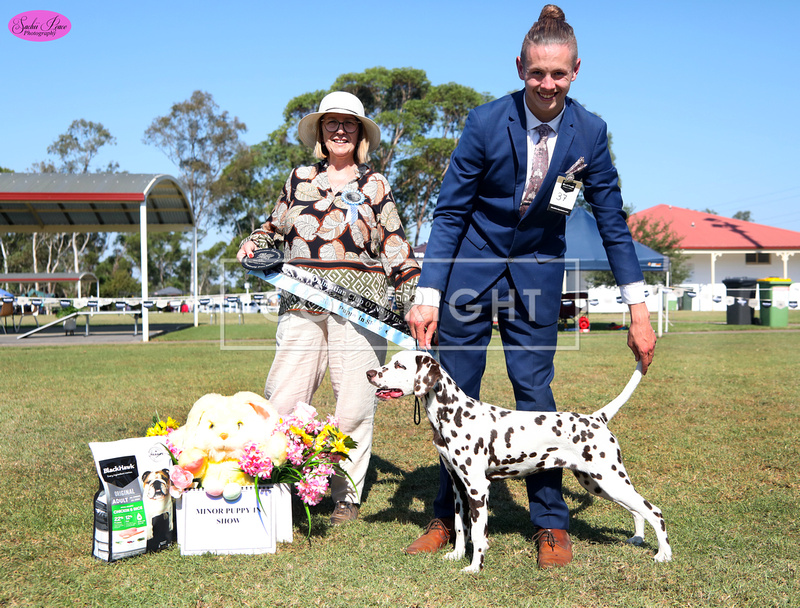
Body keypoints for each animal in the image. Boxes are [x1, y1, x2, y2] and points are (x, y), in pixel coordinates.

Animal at [366, 350, 672, 572]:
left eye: (399, 365)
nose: (370, 373)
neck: (456, 414)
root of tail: (596, 418)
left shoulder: (478, 489)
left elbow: (478, 535)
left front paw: (475, 568)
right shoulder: (458, 488)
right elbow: (460, 528)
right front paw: (456, 555)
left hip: (609, 479)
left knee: (654, 511)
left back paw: (663, 555)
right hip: (599, 484)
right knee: (637, 511)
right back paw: (637, 538)